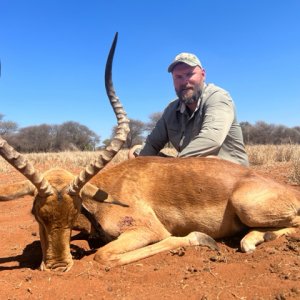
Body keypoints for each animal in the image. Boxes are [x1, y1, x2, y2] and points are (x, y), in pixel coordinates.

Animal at [0, 38, 300, 272]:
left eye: (74, 214)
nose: (57, 266)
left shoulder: (148, 230)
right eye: (37, 215)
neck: (107, 192)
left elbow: (104, 256)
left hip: (246, 206)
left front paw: (201, 239)